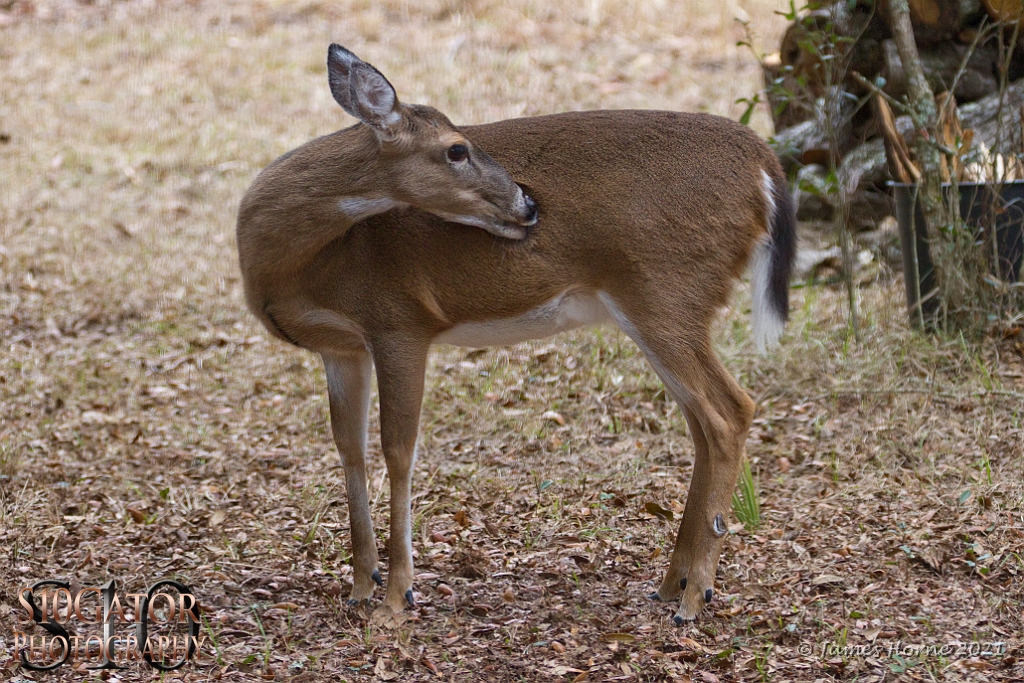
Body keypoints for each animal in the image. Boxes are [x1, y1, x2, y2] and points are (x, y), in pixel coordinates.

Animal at [235, 44, 794, 626]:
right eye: (456, 149)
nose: (529, 203)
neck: (298, 265)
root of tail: (765, 165)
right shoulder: (341, 346)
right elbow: (348, 449)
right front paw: (361, 586)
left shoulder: (399, 321)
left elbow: (398, 449)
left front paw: (397, 596)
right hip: (667, 306)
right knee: (703, 424)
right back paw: (671, 584)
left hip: (666, 290)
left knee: (730, 410)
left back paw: (694, 596)